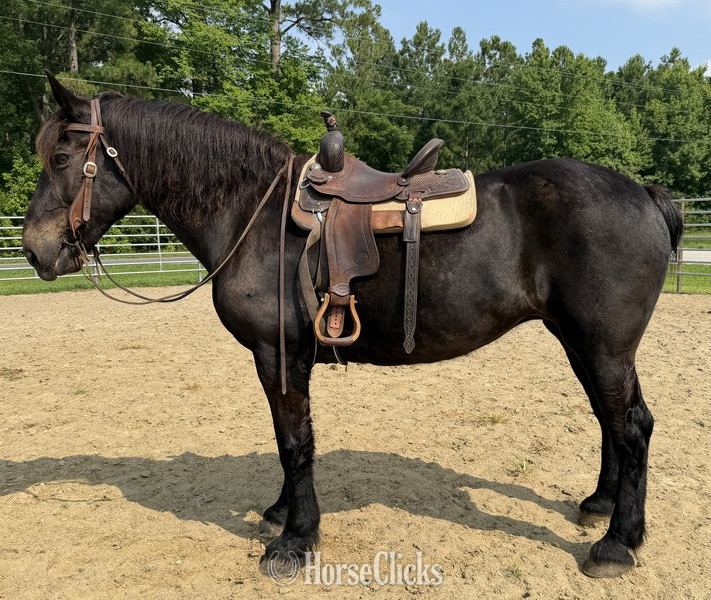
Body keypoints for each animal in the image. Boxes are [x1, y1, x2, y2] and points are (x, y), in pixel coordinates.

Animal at [22, 73, 681, 579]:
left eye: (61, 158)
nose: (34, 251)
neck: (252, 212)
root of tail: (644, 194)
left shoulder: (277, 352)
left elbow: (294, 442)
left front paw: (295, 541)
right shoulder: (286, 358)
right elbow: (292, 439)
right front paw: (281, 514)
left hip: (604, 346)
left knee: (633, 426)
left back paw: (617, 543)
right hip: (580, 342)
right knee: (611, 420)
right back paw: (600, 505)